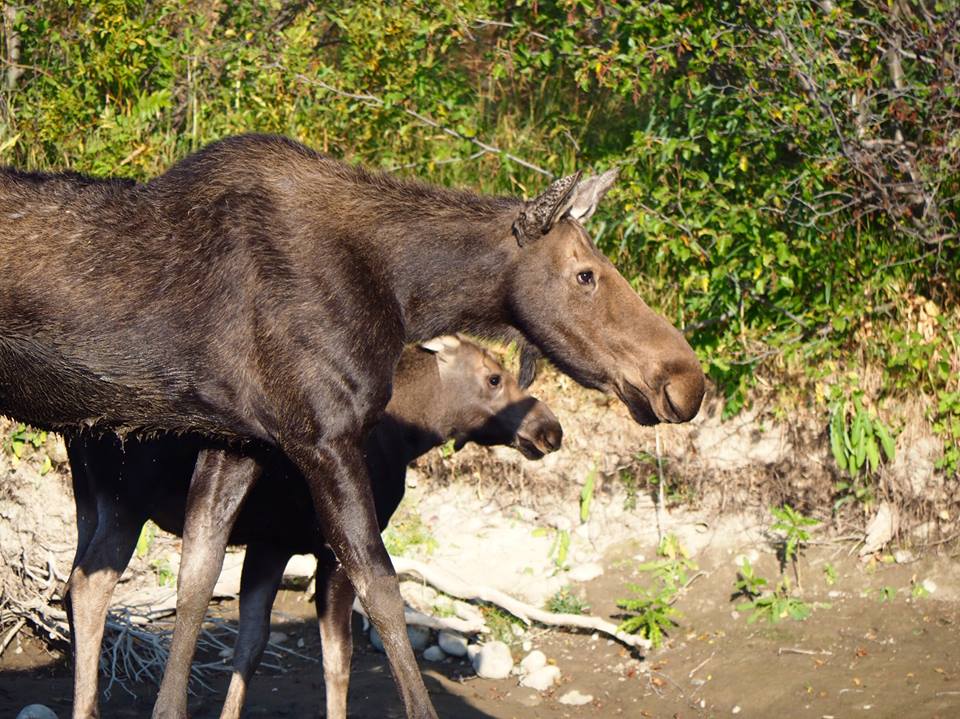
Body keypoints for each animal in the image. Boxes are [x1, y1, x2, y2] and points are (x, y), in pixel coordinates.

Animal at [65, 338, 564, 719]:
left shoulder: (271, 544)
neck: (409, 438)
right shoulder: (330, 550)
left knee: (71, 584)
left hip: (88, 502)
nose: (551, 429)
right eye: (495, 378)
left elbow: (252, 645)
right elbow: (338, 660)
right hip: (126, 505)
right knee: (90, 586)